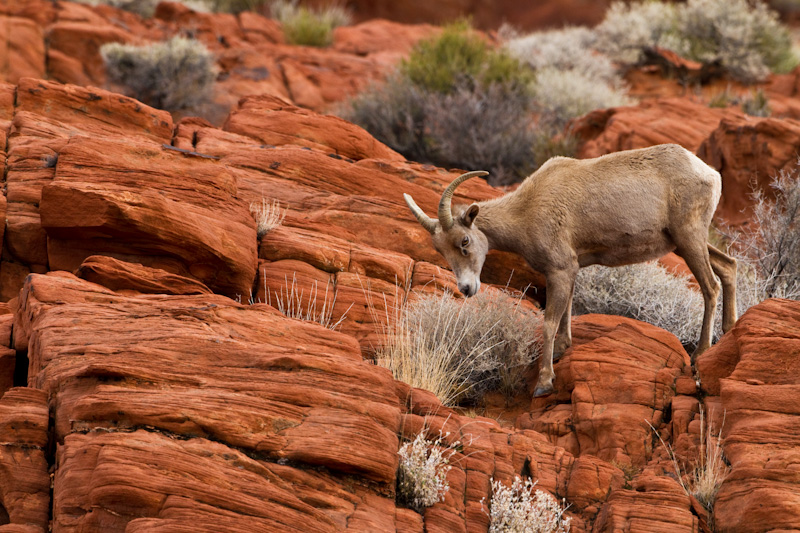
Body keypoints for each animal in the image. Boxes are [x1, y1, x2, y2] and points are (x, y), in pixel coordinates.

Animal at [406, 143, 736, 396]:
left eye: (464, 241)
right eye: (442, 251)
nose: (466, 288)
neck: (526, 210)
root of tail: (710, 174)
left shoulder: (560, 270)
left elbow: (549, 323)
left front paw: (543, 384)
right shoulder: (569, 271)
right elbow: (566, 314)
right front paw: (563, 351)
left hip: (689, 238)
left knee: (710, 286)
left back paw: (700, 354)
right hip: (686, 243)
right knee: (729, 267)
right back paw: (729, 330)